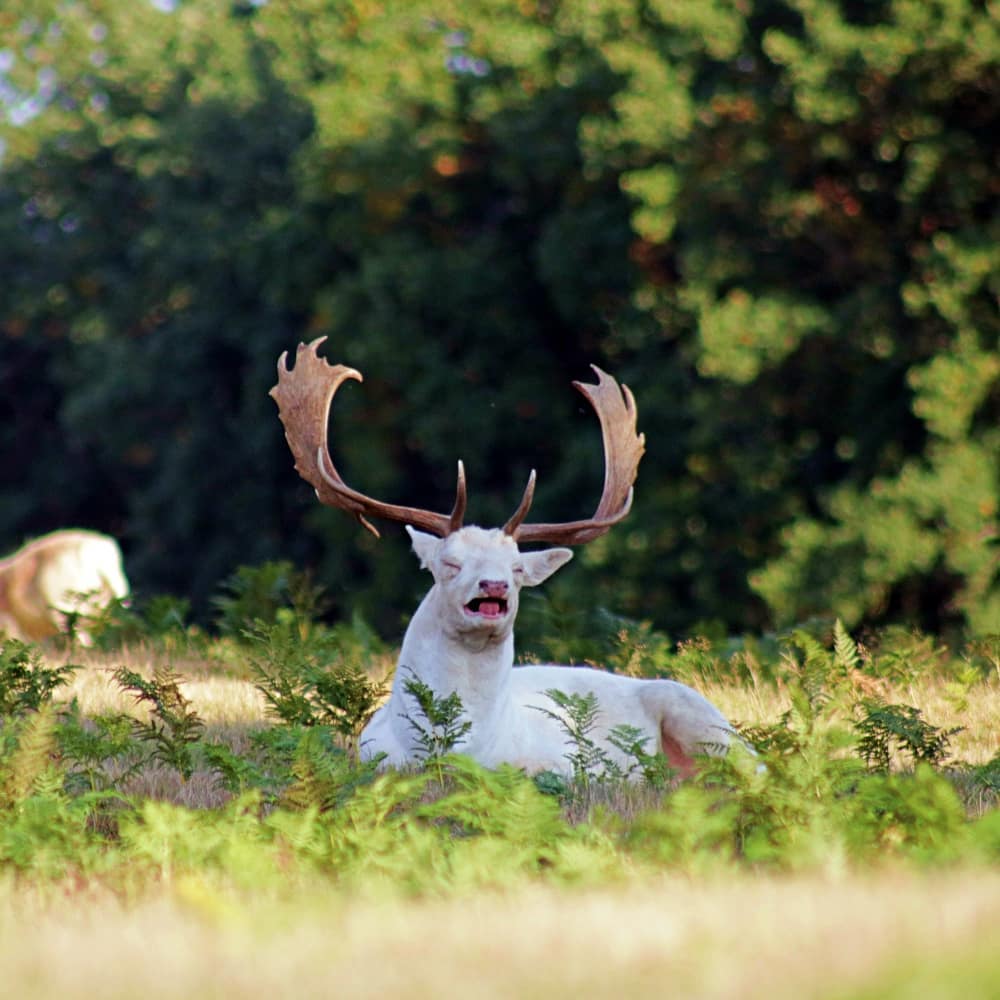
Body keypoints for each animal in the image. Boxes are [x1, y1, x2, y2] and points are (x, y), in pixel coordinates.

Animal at [270, 340, 740, 776]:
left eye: (516, 569)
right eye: (449, 563)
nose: (494, 586)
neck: (452, 748)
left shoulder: (562, 768)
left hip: (704, 720)